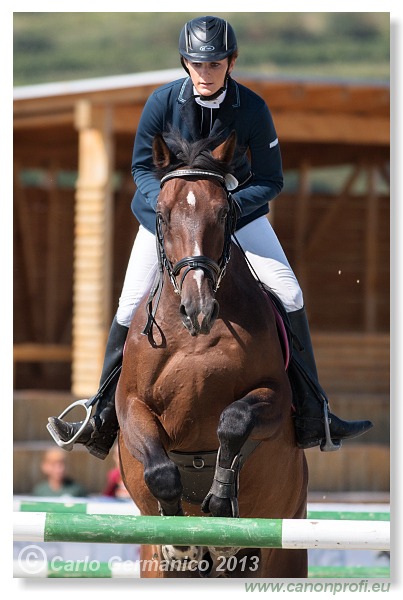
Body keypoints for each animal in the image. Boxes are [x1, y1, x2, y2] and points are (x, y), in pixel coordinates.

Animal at [115, 130, 308, 576]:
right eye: (161, 215)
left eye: (223, 213)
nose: (198, 309)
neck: (194, 337)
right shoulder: (131, 405)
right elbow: (162, 470)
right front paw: (178, 539)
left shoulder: (275, 398)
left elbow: (234, 421)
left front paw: (221, 500)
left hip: (285, 548)